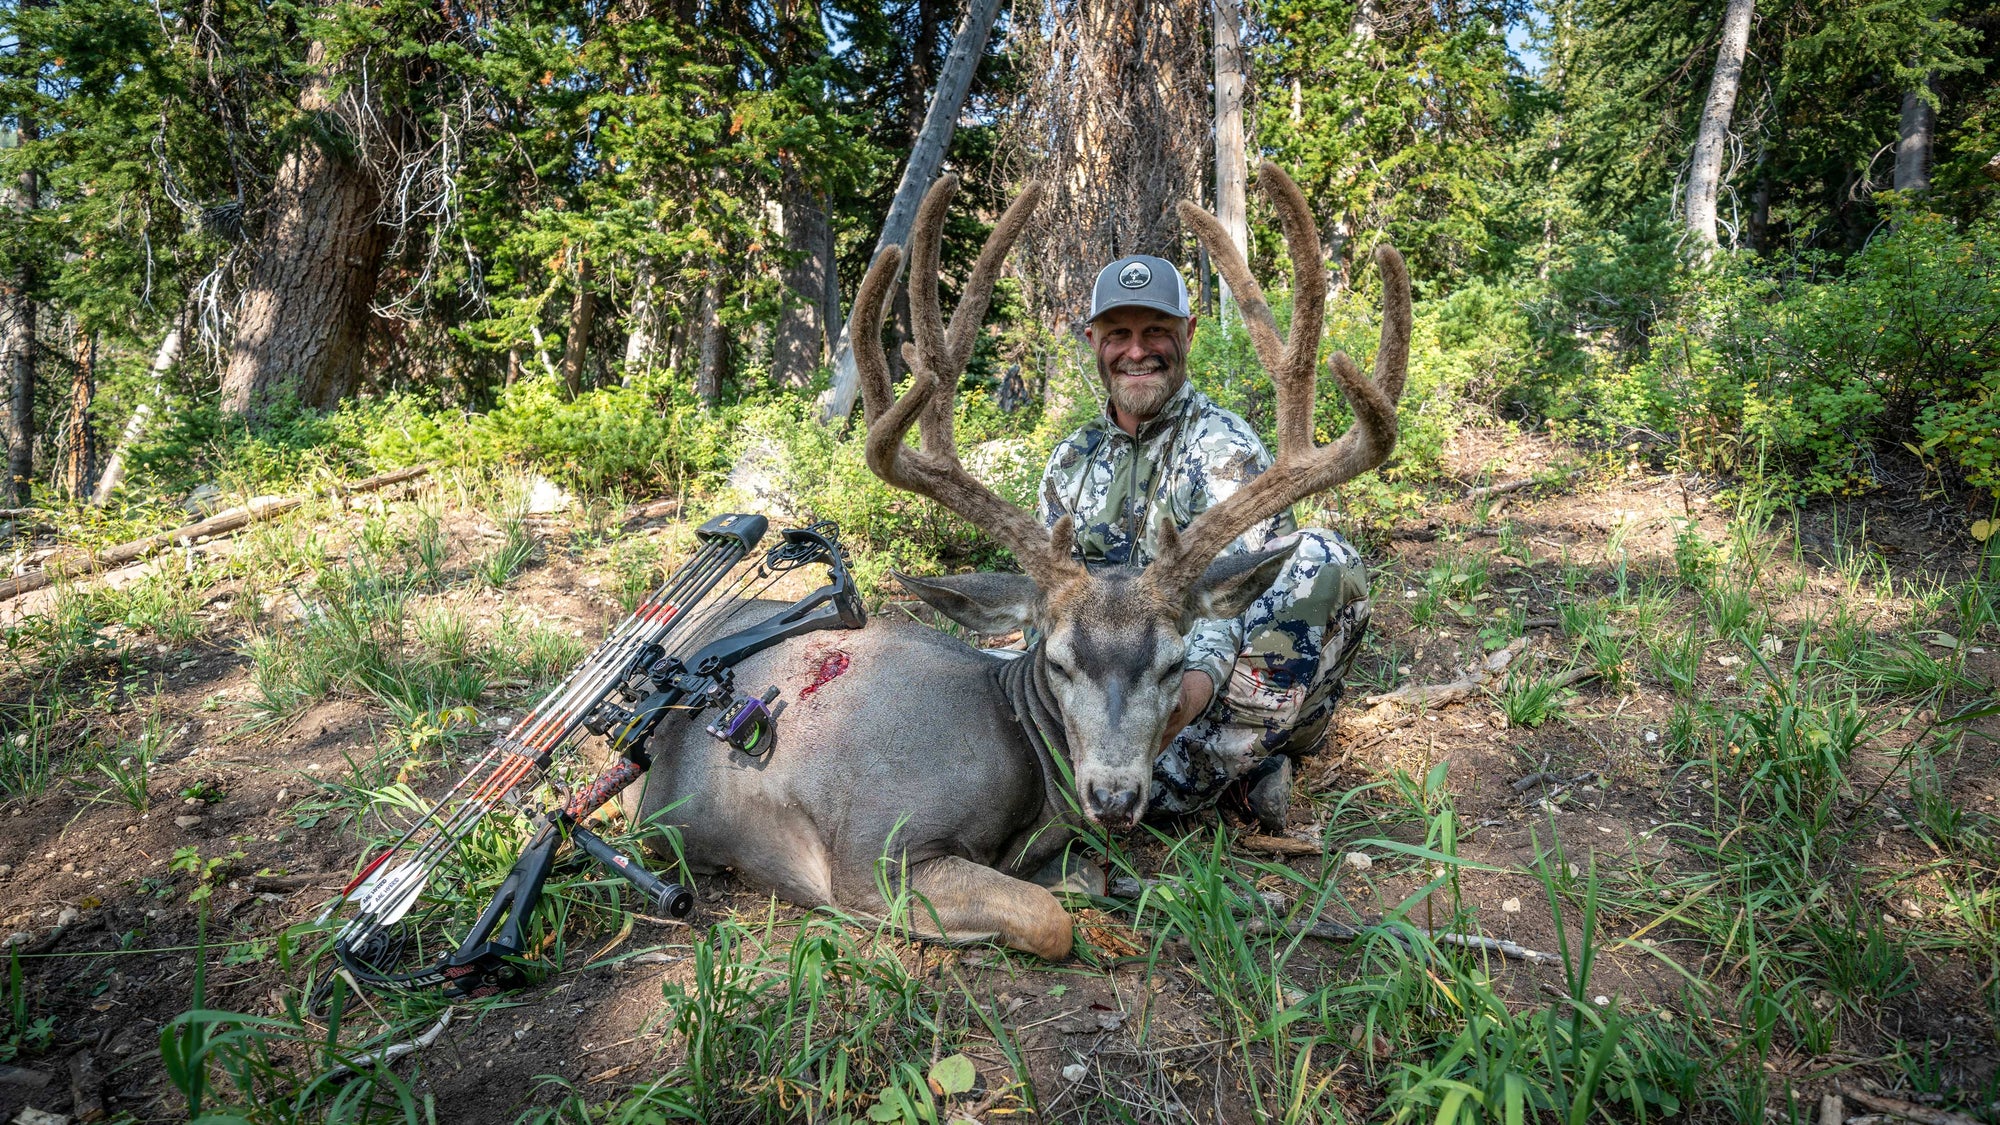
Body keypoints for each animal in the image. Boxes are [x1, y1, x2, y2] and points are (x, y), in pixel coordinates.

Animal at [629, 162, 1410, 959]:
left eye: (1172, 664)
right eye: (1059, 661)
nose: (1114, 796)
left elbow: (1111, 882)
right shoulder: (870, 845)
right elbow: (1049, 917)